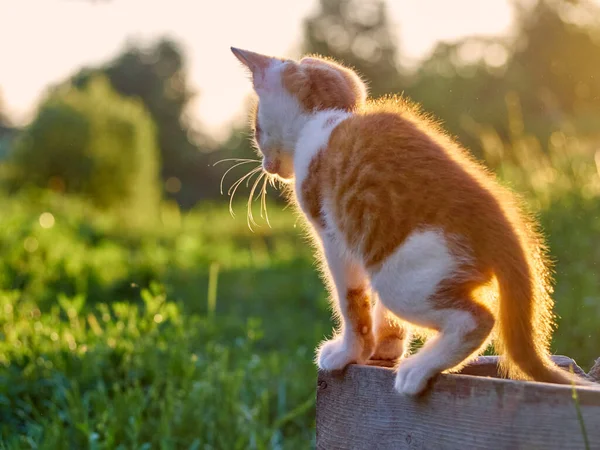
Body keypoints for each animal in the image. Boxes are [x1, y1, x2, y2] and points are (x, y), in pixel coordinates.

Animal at [230, 47, 592, 396]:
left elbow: (352, 300)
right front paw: (385, 347)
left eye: (256, 130)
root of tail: (501, 225)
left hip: (401, 278)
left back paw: (418, 370)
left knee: (477, 319)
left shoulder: (335, 236)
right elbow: (380, 313)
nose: (265, 165)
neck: (328, 120)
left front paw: (349, 352)